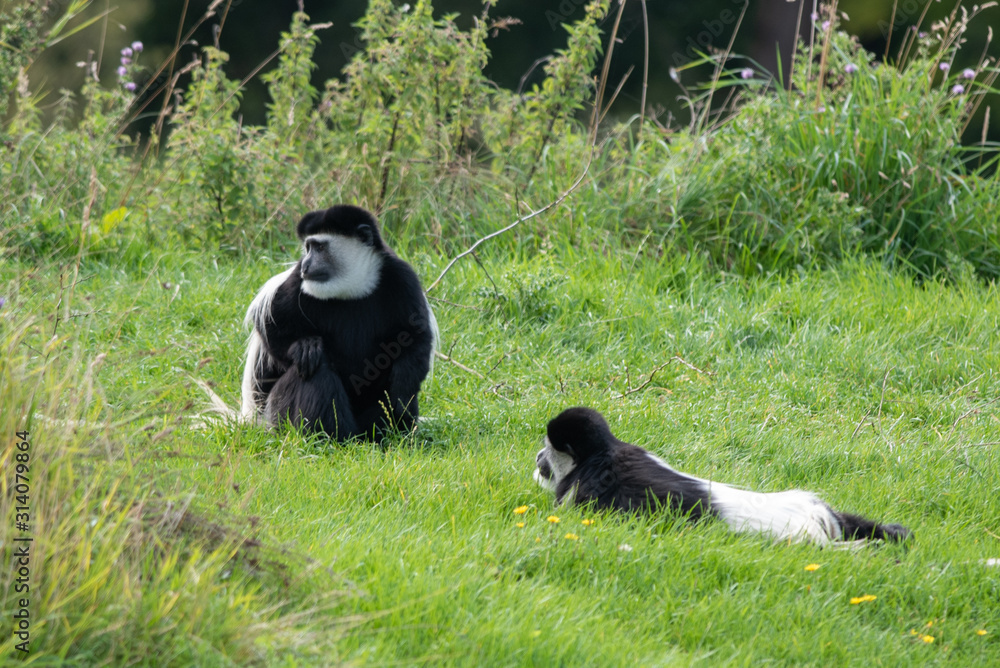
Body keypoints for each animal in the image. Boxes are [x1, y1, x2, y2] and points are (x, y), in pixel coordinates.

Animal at [240, 205, 437, 441]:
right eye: (308, 247)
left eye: (319, 247)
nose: (306, 264)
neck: (352, 286)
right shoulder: (297, 282)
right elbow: (272, 326)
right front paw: (304, 346)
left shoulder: (402, 277)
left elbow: (415, 336)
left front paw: (402, 389)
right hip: (278, 410)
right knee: (316, 366)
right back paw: (332, 436)